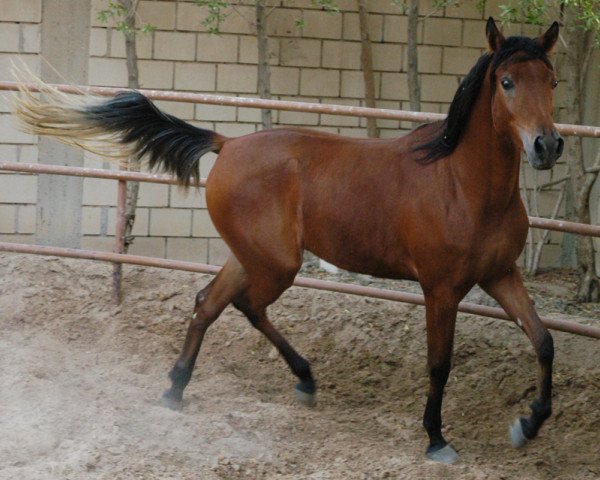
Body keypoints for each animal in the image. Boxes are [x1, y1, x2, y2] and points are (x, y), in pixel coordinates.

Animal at [14, 19, 564, 464]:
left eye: (553, 81)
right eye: (507, 82)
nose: (547, 145)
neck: (461, 184)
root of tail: (228, 143)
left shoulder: (500, 275)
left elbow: (544, 340)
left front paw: (529, 424)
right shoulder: (441, 289)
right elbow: (440, 363)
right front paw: (436, 440)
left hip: (251, 256)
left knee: (209, 302)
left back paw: (180, 389)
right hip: (277, 263)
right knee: (244, 304)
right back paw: (297, 380)